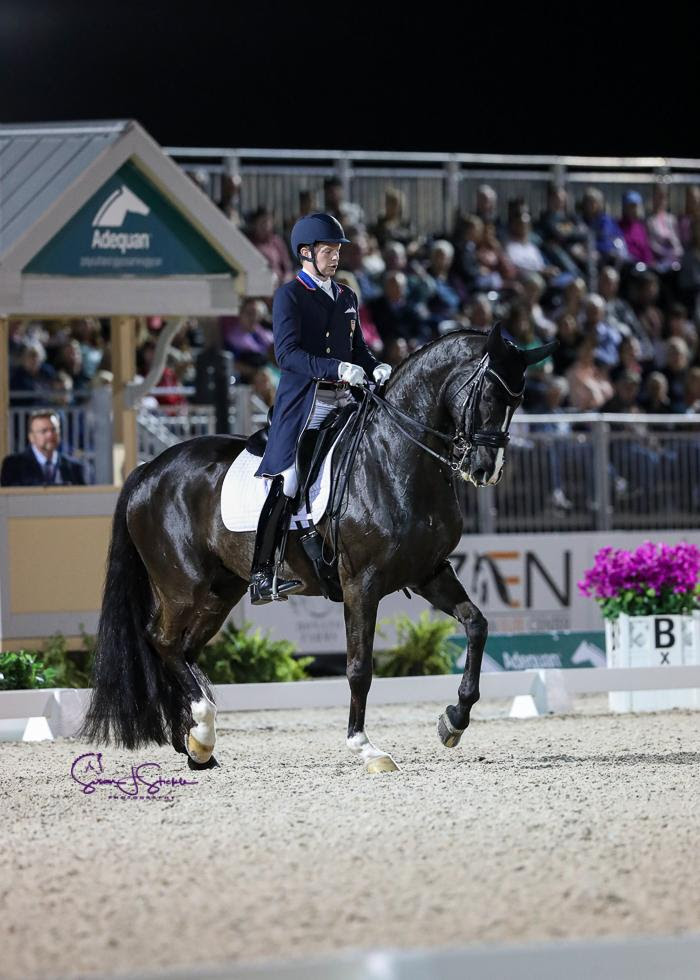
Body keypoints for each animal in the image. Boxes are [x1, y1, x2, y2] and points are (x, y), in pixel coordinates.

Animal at [80, 328, 552, 772]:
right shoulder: (361, 584)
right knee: (162, 641)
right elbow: (359, 667)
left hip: (219, 592)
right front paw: (366, 747)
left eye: (519, 400)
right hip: (182, 586)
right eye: (489, 394)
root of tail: (148, 469)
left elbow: (477, 625)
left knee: (184, 649)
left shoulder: (429, 572)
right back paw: (201, 730)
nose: (485, 470)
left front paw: (453, 720)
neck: (395, 459)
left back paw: (196, 743)